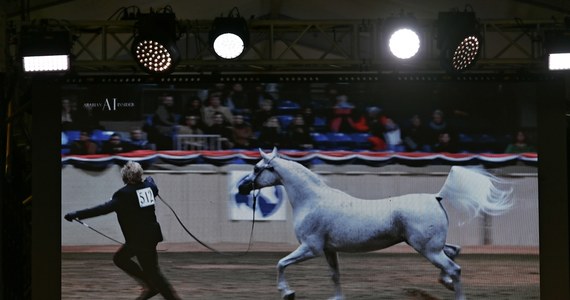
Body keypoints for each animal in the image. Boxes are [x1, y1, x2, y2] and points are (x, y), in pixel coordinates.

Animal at [237, 148, 512, 300]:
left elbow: (281, 263)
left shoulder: (310, 248)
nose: (241, 188)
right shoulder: (329, 250)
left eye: (257, 167)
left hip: (427, 249)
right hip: (431, 246)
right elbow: (335, 275)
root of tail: (436, 196)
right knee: (454, 253)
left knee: (455, 268)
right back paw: (444, 282)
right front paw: (336, 298)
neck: (312, 200)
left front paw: (287, 293)